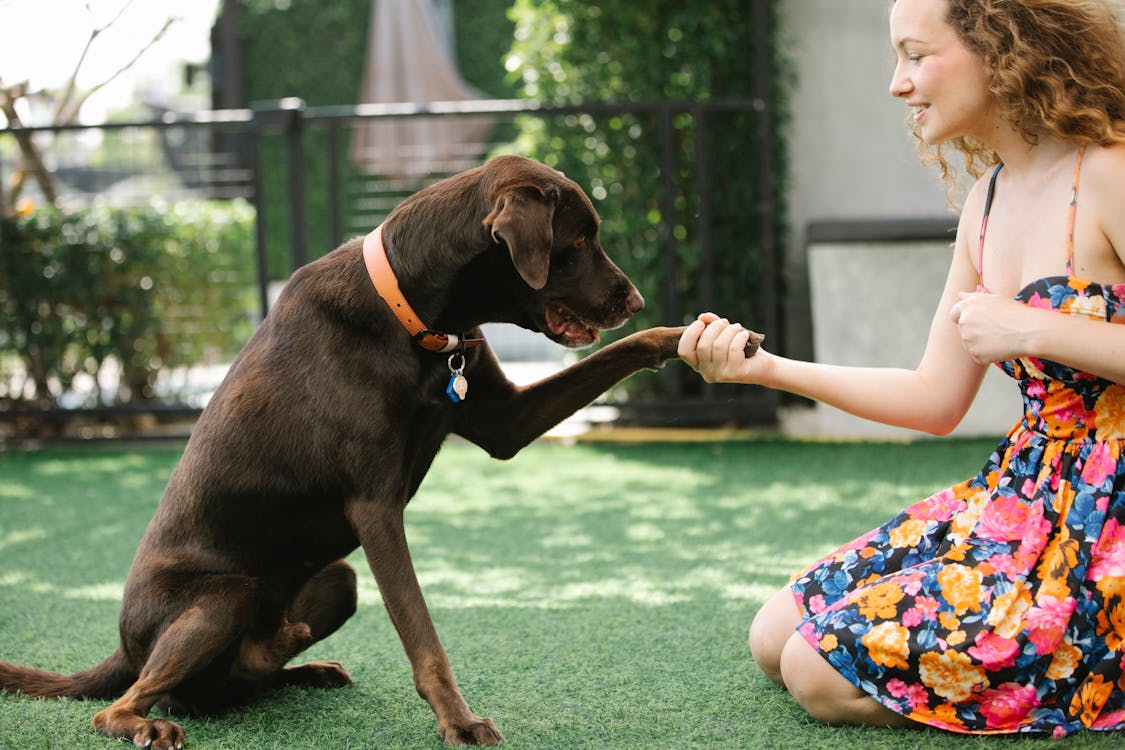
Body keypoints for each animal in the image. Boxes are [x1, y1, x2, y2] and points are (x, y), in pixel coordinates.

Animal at [0, 155, 765, 746]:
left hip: (337, 578)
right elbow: (422, 634)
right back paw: (149, 721)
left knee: (243, 674)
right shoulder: (375, 508)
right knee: (125, 703)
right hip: (219, 598)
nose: (633, 300)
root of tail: (123, 646)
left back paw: (298, 660)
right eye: (578, 240)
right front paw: (459, 723)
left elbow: (625, 353)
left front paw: (701, 339)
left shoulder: (505, 421)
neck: (419, 315)